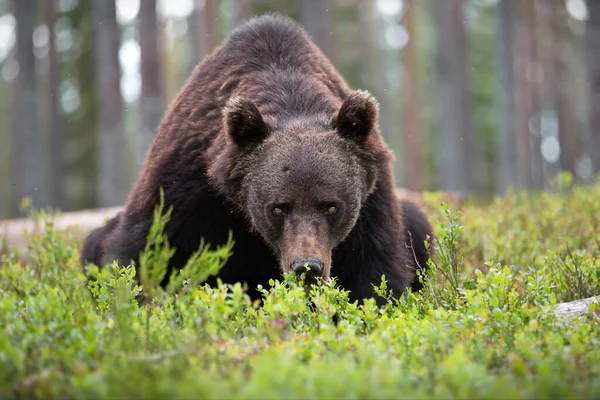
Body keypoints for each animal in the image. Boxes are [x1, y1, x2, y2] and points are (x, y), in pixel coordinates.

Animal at [82, 14, 434, 304]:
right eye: (278, 207)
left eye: (331, 206)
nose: (307, 267)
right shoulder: (186, 182)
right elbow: (143, 250)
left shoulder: (372, 198)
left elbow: (375, 271)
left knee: (418, 225)